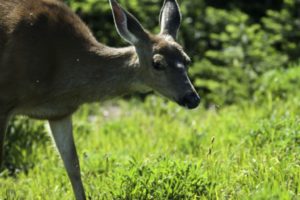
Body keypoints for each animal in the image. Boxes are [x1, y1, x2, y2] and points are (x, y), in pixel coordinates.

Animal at [0, 0, 202, 198]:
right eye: (157, 63)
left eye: (187, 60)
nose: (193, 98)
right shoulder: (5, 99)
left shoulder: (59, 112)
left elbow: (73, 165)